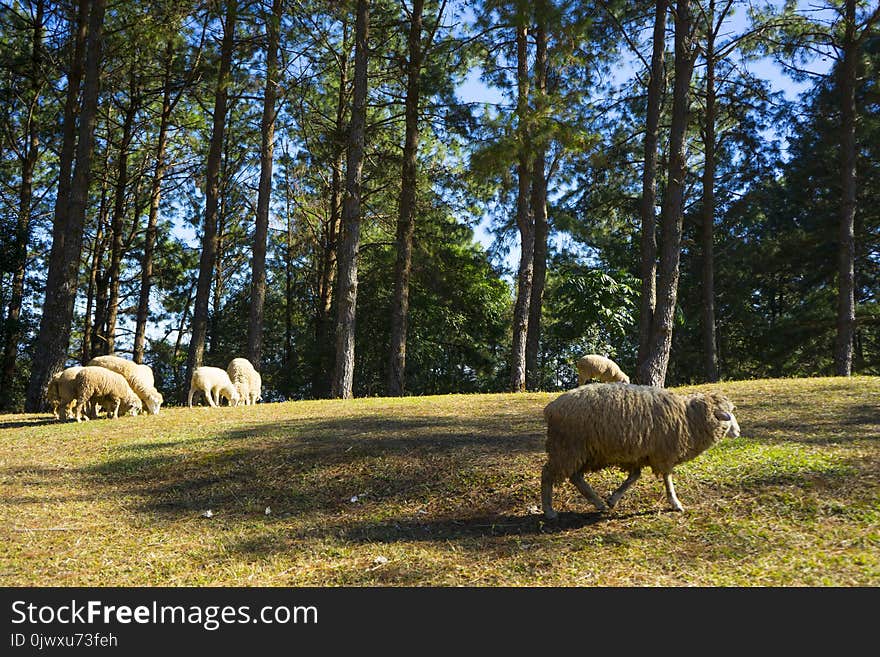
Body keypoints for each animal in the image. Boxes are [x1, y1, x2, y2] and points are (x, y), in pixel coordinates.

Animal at [540, 384, 740, 516]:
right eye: (729, 416)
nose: (738, 432)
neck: (689, 417)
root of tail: (551, 408)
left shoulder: (638, 454)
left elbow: (634, 477)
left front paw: (613, 499)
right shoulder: (664, 453)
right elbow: (667, 478)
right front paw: (675, 503)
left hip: (583, 452)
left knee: (575, 477)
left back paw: (598, 503)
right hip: (567, 447)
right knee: (548, 473)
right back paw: (549, 510)